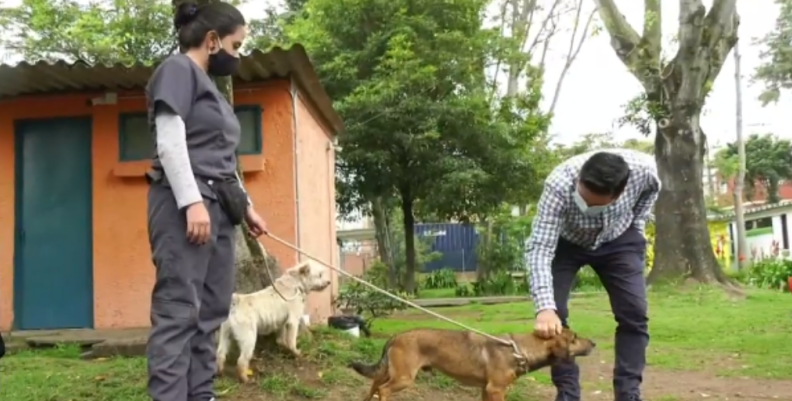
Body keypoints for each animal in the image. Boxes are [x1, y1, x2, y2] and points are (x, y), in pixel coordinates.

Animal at [348, 326, 592, 398]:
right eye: (574, 338)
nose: (594, 343)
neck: (519, 350)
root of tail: (396, 337)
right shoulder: (495, 390)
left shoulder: (486, 389)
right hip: (403, 378)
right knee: (383, 390)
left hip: (389, 372)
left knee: (373, 387)